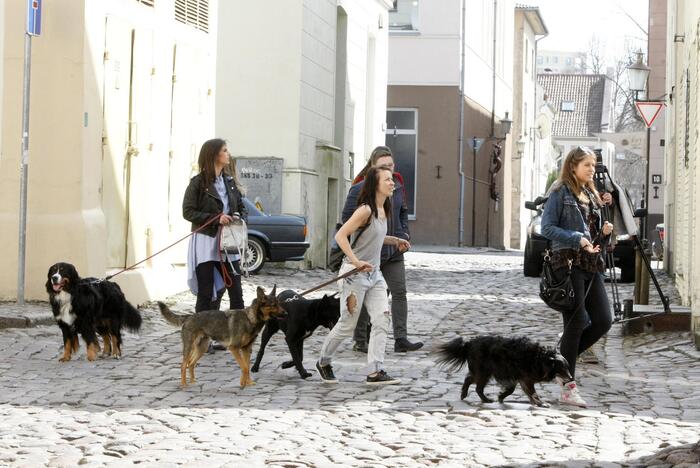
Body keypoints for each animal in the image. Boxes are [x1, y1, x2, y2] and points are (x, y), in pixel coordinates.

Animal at [438, 334, 576, 408]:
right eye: (563, 368)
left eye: (568, 367)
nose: (571, 378)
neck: (541, 358)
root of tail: (469, 343)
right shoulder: (525, 378)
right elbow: (532, 393)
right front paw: (540, 403)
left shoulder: (519, 378)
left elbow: (515, 390)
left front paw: (501, 396)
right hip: (483, 372)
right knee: (473, 383)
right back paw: (471, 396)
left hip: (485, 373)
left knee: (475, 385)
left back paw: (481, 399)